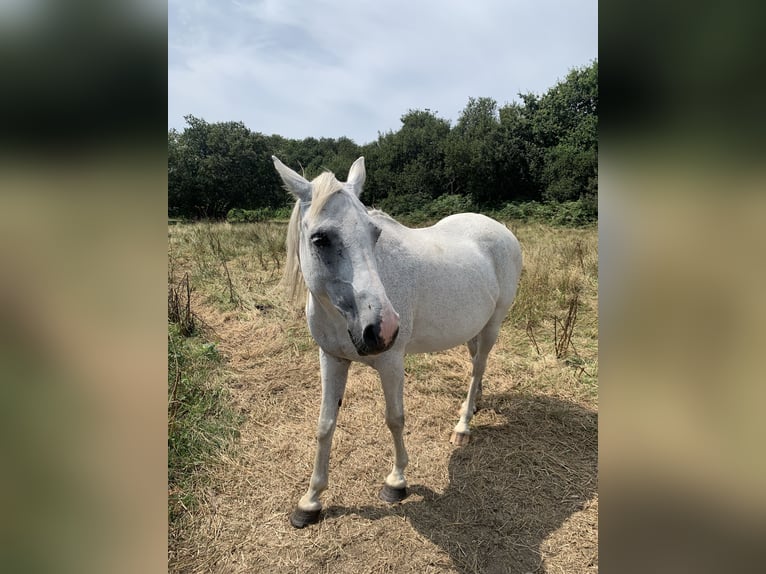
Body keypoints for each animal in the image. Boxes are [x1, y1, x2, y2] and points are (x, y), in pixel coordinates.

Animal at [272, 156, 522, 528]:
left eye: (374, 233)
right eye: (320, 239)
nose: (382, 328)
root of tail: (501, 230)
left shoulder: (391, 361)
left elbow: (395, 418)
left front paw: (397, 482)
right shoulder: (331, 358)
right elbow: (325, 425)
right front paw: (311, 501)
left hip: (494, 323)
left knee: (478, 367)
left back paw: (463, 425)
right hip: (473, 327)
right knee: (477, 364)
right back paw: (474, 403)